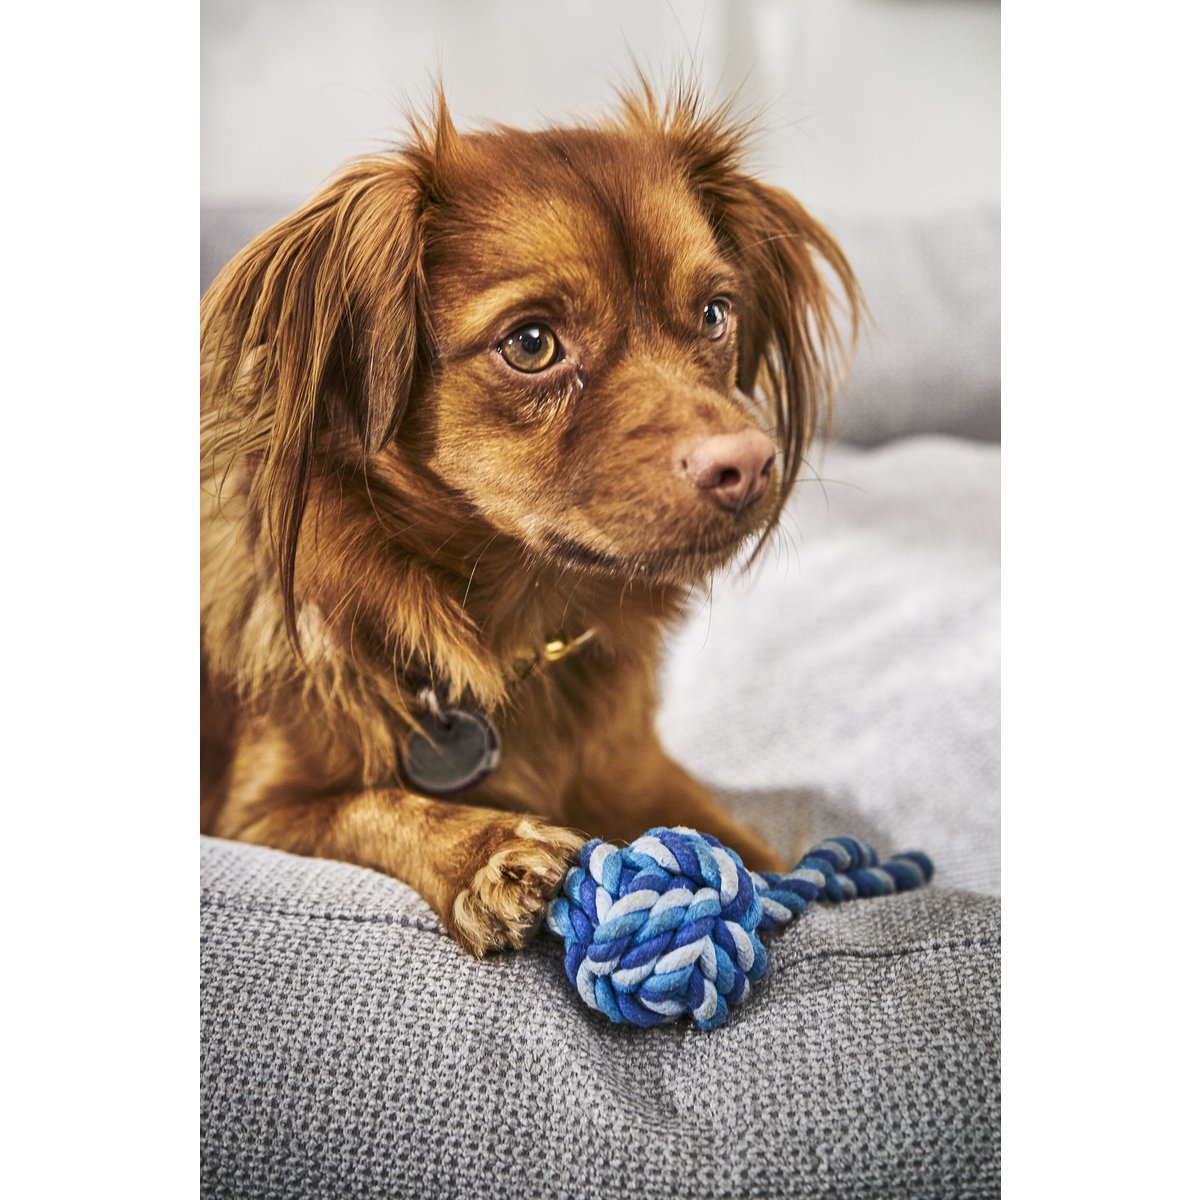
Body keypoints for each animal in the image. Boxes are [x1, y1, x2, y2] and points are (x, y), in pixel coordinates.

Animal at [199, 87, 854, 955]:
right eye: (533, 343)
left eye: (716, 315)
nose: (748, 464)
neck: (518, 620)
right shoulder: (254, 811)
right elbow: (367, 805)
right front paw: (486, 849)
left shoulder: (634, 769)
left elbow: (759, 851)